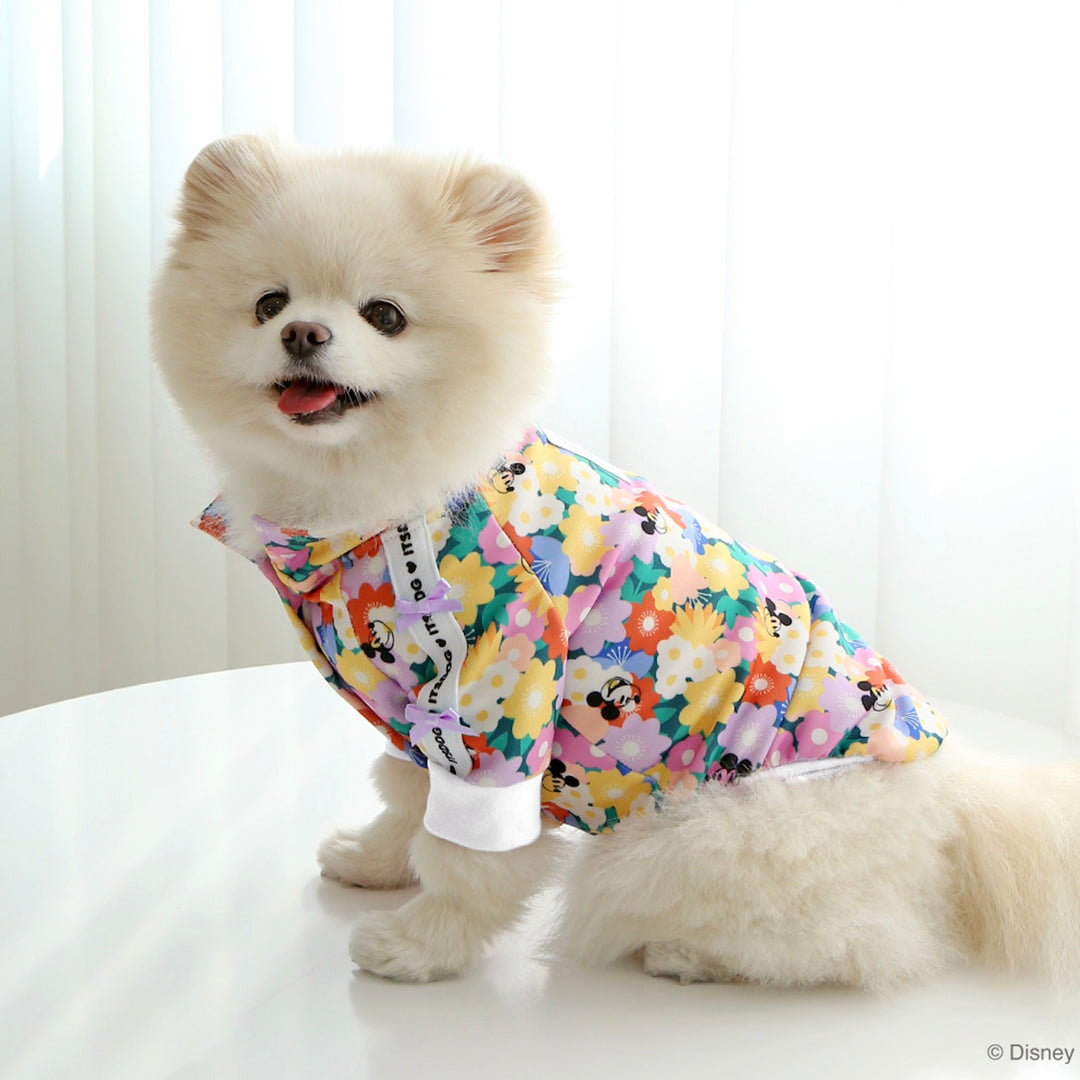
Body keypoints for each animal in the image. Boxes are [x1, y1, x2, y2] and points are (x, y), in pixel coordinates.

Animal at [152, 134, 1080, 988]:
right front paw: (375, 862)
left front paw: (419, 945)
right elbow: (408, 802)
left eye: (385, 315)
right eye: (268, 302)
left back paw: (689, 955)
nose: (304, 332)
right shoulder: (422, 721)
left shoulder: (501, 695)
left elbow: (471, 860)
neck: (381, 507)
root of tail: (949, 800)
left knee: (855, 942)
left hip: (708, 833)